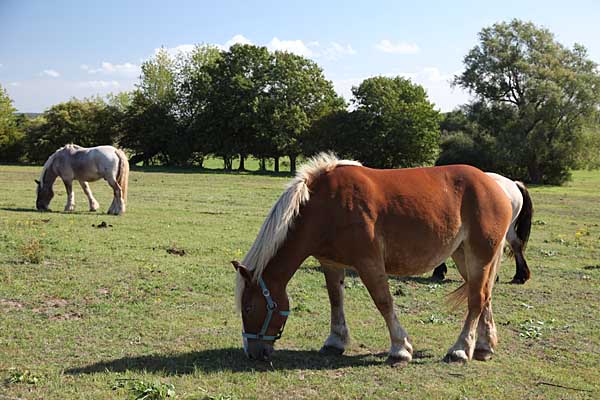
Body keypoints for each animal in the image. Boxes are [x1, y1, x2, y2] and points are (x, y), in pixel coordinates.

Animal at [234, 154, 510, 366]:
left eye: (248, 308)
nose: (252, 352)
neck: (326, 206)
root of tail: (495, 184)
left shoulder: (369, 262)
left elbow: (383, 302)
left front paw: (400, 349)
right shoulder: (331, 263)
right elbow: (336, 300)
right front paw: (335, 341)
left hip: (479, 255)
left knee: (476, 300)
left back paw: (461, 350)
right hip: (463, 255)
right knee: (484, 296)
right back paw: (484, 346)